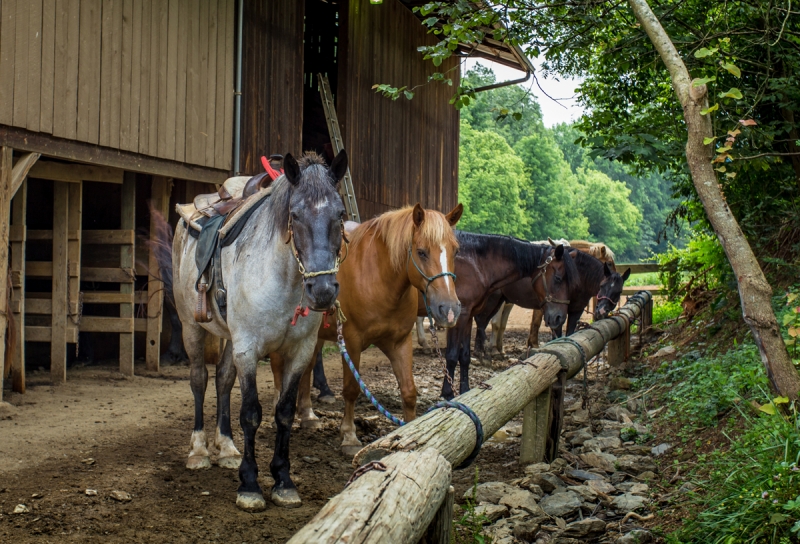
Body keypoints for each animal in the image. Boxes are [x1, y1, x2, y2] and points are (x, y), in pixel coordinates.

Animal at [276, 202, 460, 456]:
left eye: (455, 251)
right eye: (422, 252)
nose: (450, 310)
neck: (379, 278)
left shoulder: (400, 342)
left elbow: (409, 391)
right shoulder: (351, 341)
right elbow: (351, 389)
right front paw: (349, 436)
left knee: (307, 366)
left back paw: (308, 415)